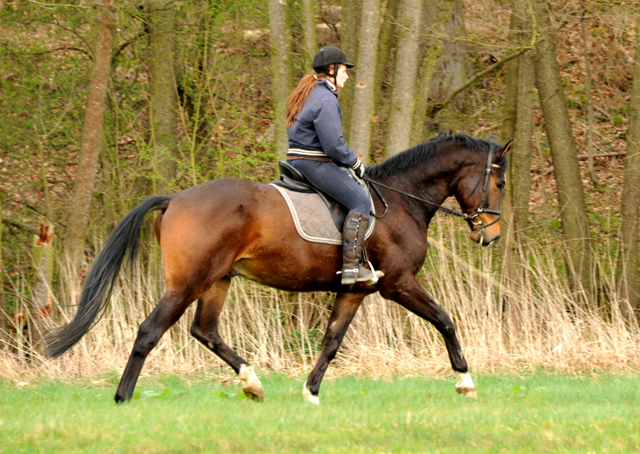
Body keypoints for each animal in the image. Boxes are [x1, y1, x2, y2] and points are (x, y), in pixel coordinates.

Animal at [46, 132, 510, 404]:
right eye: (500, 182)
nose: (492, 235)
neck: (400, 200)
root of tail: (175, 198)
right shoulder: (399, 283)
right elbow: (445, 320)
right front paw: (466, 381)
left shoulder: (356, 290)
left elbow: (332, 341)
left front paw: (311, 392)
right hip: (189, 282)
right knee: (149, 331)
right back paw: (123, 398)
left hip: (217, 280)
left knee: (205, 330)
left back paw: (252, 382)